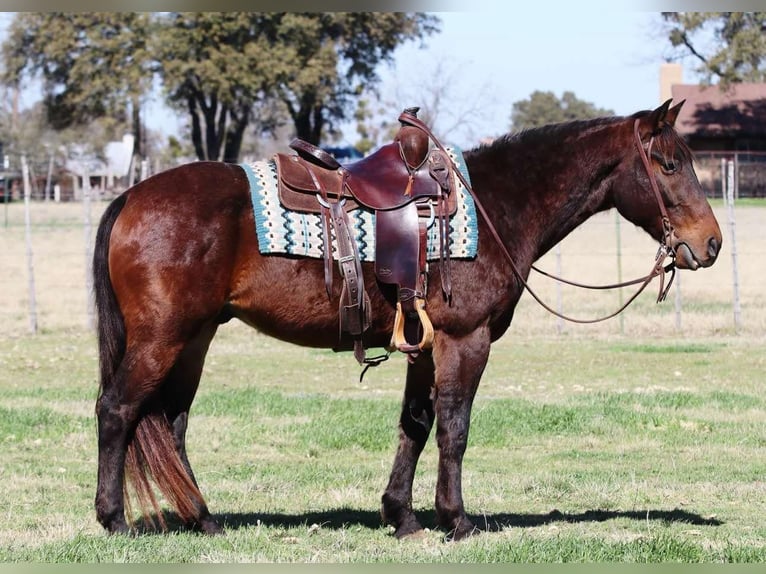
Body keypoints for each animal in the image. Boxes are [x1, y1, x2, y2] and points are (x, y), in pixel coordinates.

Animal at [93, 100, 722, 540]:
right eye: (669, 164)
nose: (710, 243)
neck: (494, 205)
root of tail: (131, 198)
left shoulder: (424, 344)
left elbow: (414, 425)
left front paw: (402, 516)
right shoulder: (465, 340)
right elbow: (454, 428)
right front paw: (456, 520)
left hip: (194, 339)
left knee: (170, 423)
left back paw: (203, 519)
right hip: (163, 337)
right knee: (118, 410)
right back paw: (114, 519)